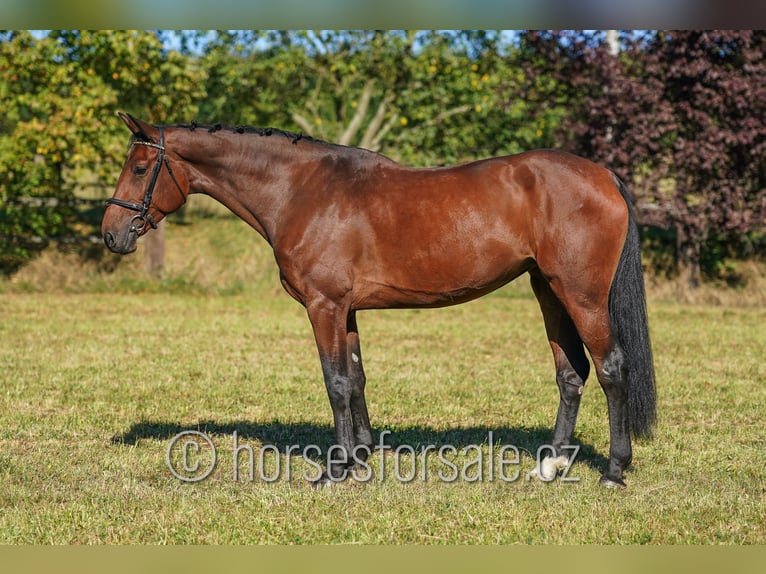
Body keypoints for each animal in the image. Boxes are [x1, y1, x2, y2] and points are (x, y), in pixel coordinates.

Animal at [102, 113, 656, 490]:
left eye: (141, 167)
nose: (111, 234)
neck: (303, 191)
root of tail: (603, 176)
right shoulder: (346, 310)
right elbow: (356, 378)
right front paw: (362, 456)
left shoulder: (323, 306)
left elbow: (334, 382)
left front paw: (336, 470)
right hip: (549, 291)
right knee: (570, 373)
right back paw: (552, 463)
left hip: (581, 296)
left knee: (610, 368)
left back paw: (613, 470)